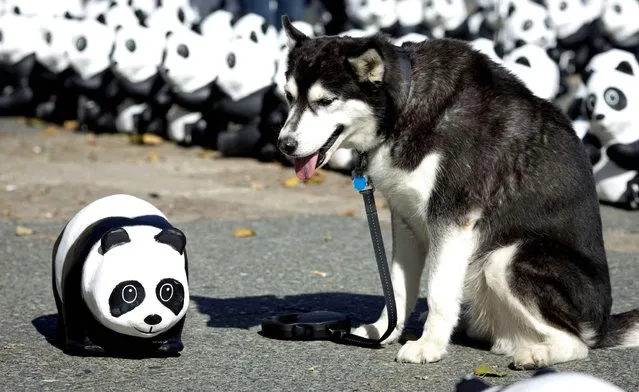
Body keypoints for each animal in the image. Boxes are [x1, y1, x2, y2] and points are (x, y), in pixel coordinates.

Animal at [276, 16, 639, 370]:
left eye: (325, 101)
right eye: (289, 96)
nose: (284, 144)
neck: (406, 104)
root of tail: (601, 324)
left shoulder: (453, 219)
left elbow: (438, 289)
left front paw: (429, 345)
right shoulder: (405, 220)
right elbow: (397, 288)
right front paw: (385, 331)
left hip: (506, 258)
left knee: (576, 343)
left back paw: (538, 354)